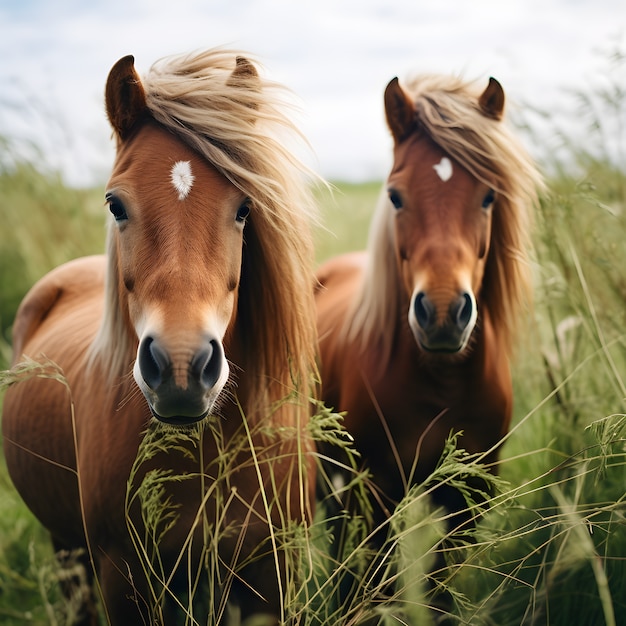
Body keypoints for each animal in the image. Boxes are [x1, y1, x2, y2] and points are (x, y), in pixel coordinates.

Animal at [2, 50, 320, 624]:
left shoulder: (270, 573)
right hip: (67, 552)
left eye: (245, 208)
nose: (180, 368)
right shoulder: (123, 576)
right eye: (115, 205)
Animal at [316, 74, 540, 544]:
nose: (441, 315)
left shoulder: (468, 502)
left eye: (489, 196)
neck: (443, 385)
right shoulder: (374, 497)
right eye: (395, 197)